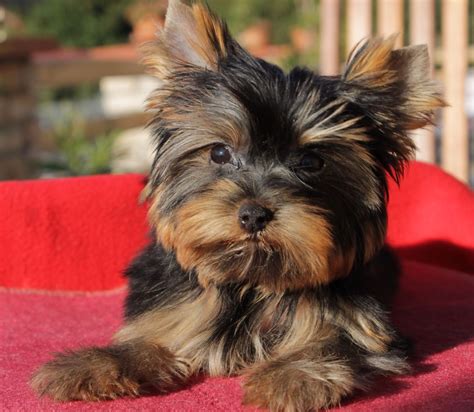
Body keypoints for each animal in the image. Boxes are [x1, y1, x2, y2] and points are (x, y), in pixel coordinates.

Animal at [30, 1, 444, 410]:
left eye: (311, 162)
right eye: (219, 152)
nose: (253, 214)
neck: (250, 282)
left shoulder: (363, 328)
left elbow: (334, 343)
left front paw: (290, 377)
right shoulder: (174, 309)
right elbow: (154, 336)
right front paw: (96, 364)